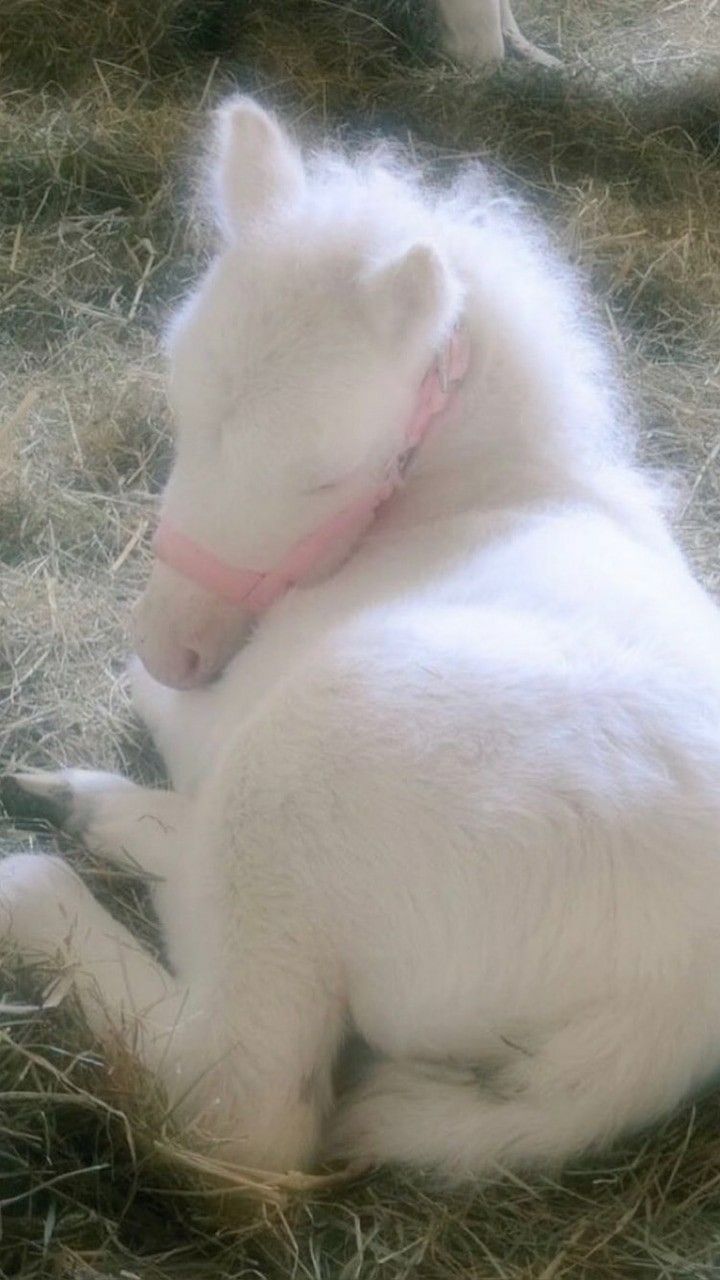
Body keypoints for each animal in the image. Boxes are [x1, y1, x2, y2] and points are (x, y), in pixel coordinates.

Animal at [4, 97, 717, 1177]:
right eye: (178, 402)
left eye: (326, 477)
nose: (176, 645)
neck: (483, 491)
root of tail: (666, 1015)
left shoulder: (221, 706)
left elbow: (161, 708)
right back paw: (86, 811)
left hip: (317, 758)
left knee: (241, 1093)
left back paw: (44, 869)